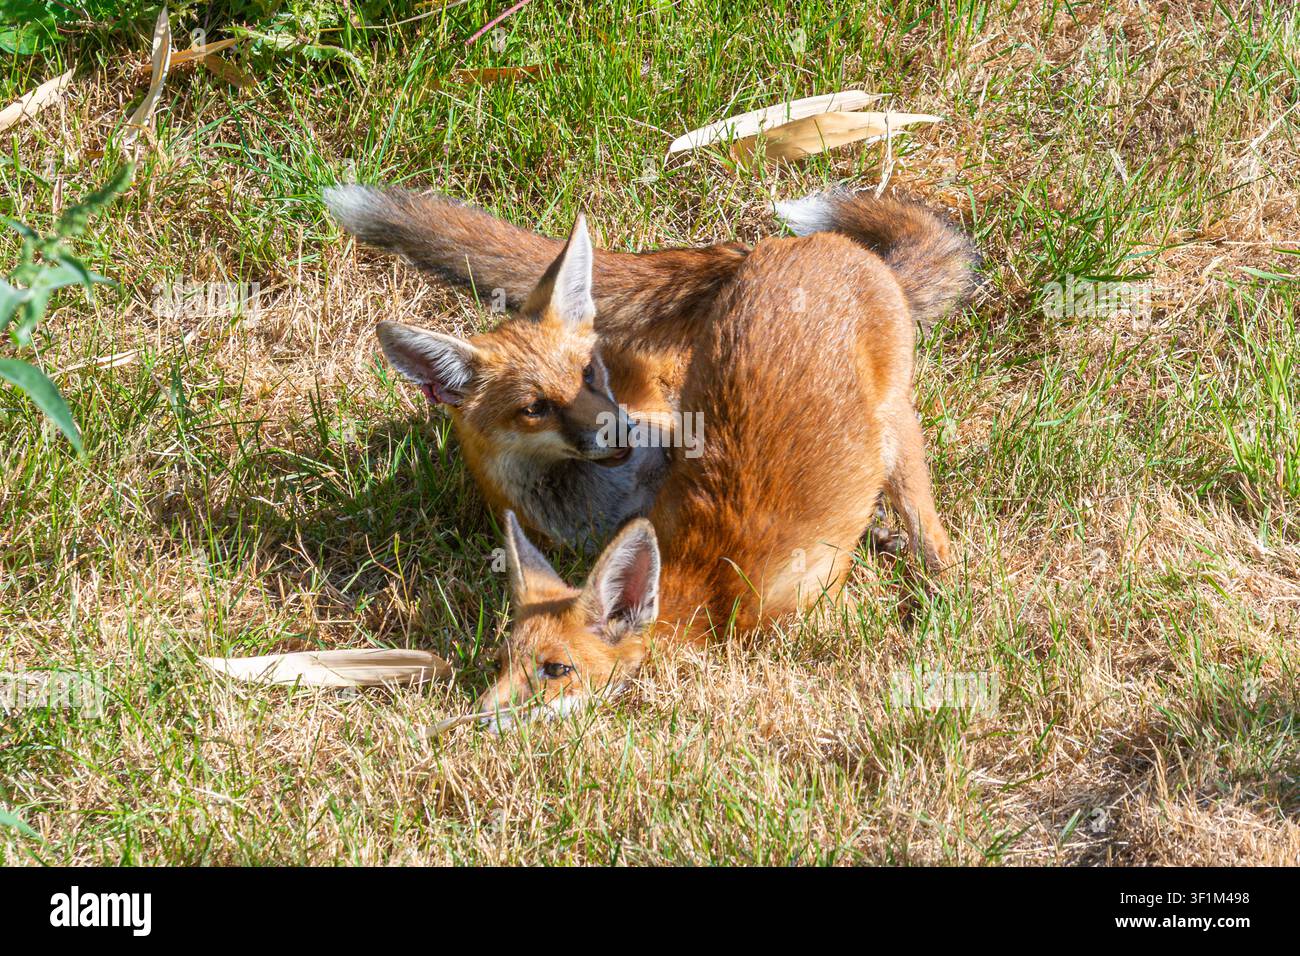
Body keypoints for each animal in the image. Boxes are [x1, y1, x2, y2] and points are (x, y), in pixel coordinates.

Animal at [324, 184, 977, 550]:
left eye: (590, 374)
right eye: (534, 409)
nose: (618, 430)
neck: (608, 497)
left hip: (893, 429)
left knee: (922, 516)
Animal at [472, 208, 964, 727]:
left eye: (555, 669)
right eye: (501, 662)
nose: (478, 716)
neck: (709, 589)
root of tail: (828, 245)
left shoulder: (813, 604)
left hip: (898, 439)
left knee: (931, 533)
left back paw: (943, 591)